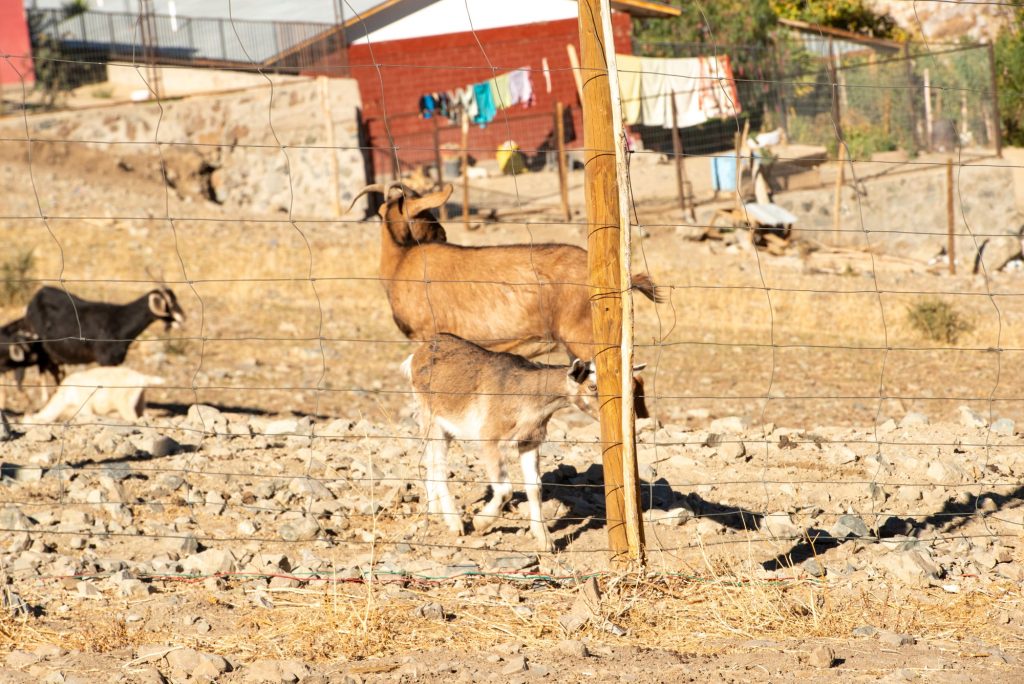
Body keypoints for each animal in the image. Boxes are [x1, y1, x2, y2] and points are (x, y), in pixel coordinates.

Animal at [24, 366, 164, 425]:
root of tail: (142, 378)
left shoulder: (85, 405)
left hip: (124, 403)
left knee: (132, 417)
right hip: (140, 400)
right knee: (144, 414)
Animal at [26, 286, 185, 381]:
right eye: (169, 303)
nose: (182, 318)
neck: (120, 321)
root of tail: (37, 295)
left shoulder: (115, 361)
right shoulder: (105, 360)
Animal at [403, 333, 647, 552]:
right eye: (592, 387)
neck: (527, 400)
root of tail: (416, 355)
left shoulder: (529, 443)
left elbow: (534, 487)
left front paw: (545, 541)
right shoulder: (490, 440)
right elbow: (505, 489)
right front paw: (480, 523)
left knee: (431, 462)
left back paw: (436, 512)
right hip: (431, 419)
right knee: (439, 466)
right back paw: (455, 523)